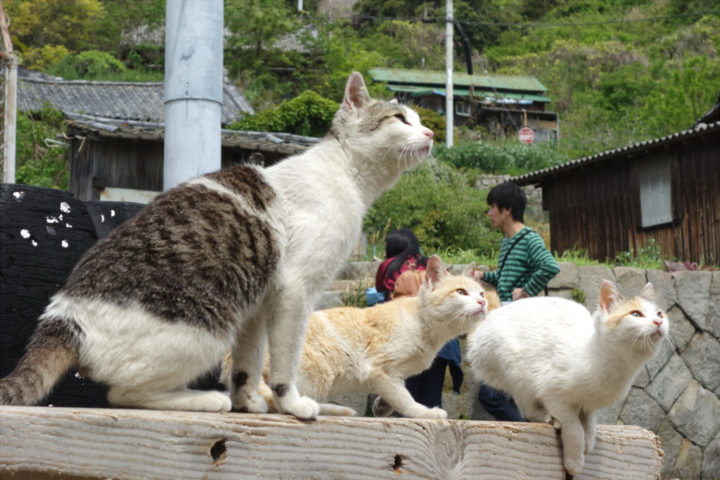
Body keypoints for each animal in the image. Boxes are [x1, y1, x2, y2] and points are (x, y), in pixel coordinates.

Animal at [0, 72, 434, 420]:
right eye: (400, 119)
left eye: (419, 120)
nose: (431, 134)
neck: (346, 175)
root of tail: (62, 316)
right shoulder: (294, 291)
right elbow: (285, 361)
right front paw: (291, 404)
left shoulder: (259, 302)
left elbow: (249, 362)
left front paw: (250, 402)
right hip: (209, 329)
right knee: (121, 394)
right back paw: (206, 399)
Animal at [256, 256, 498, 418]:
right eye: (461, 292)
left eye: (481, 293)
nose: (482, 302)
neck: (425, 326)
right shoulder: (380, 370)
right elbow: (404, 398)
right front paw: (423, 412)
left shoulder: (395, 375)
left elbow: (399, 392)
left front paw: (383, 406)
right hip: (317, 373)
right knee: (280, 404)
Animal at [466, 280, 668, 474]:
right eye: (635, 314)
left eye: (660, 313)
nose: (658, 321)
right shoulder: (554, 396)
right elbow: (575, 428)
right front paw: (575, 460)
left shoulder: (590, 405)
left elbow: (589, 422)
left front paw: (589, 441)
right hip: (516, 373)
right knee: (527, 411)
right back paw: (549, 419)